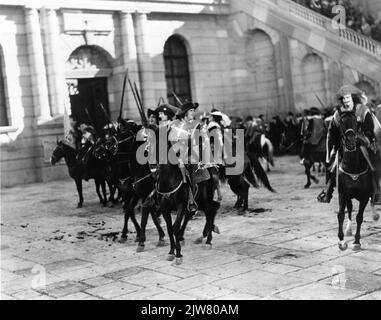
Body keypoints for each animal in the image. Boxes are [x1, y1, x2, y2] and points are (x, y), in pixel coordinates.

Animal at [336, 111, 378, 251]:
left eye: (355, 122)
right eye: (341, 122)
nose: (350, 140)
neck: (352, 166)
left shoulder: (364, 196)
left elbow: (359, 217)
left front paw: (357, 242)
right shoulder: (343, 194)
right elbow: (341, 214)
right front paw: (341, 241)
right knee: (349, 209)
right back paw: (348, 230)